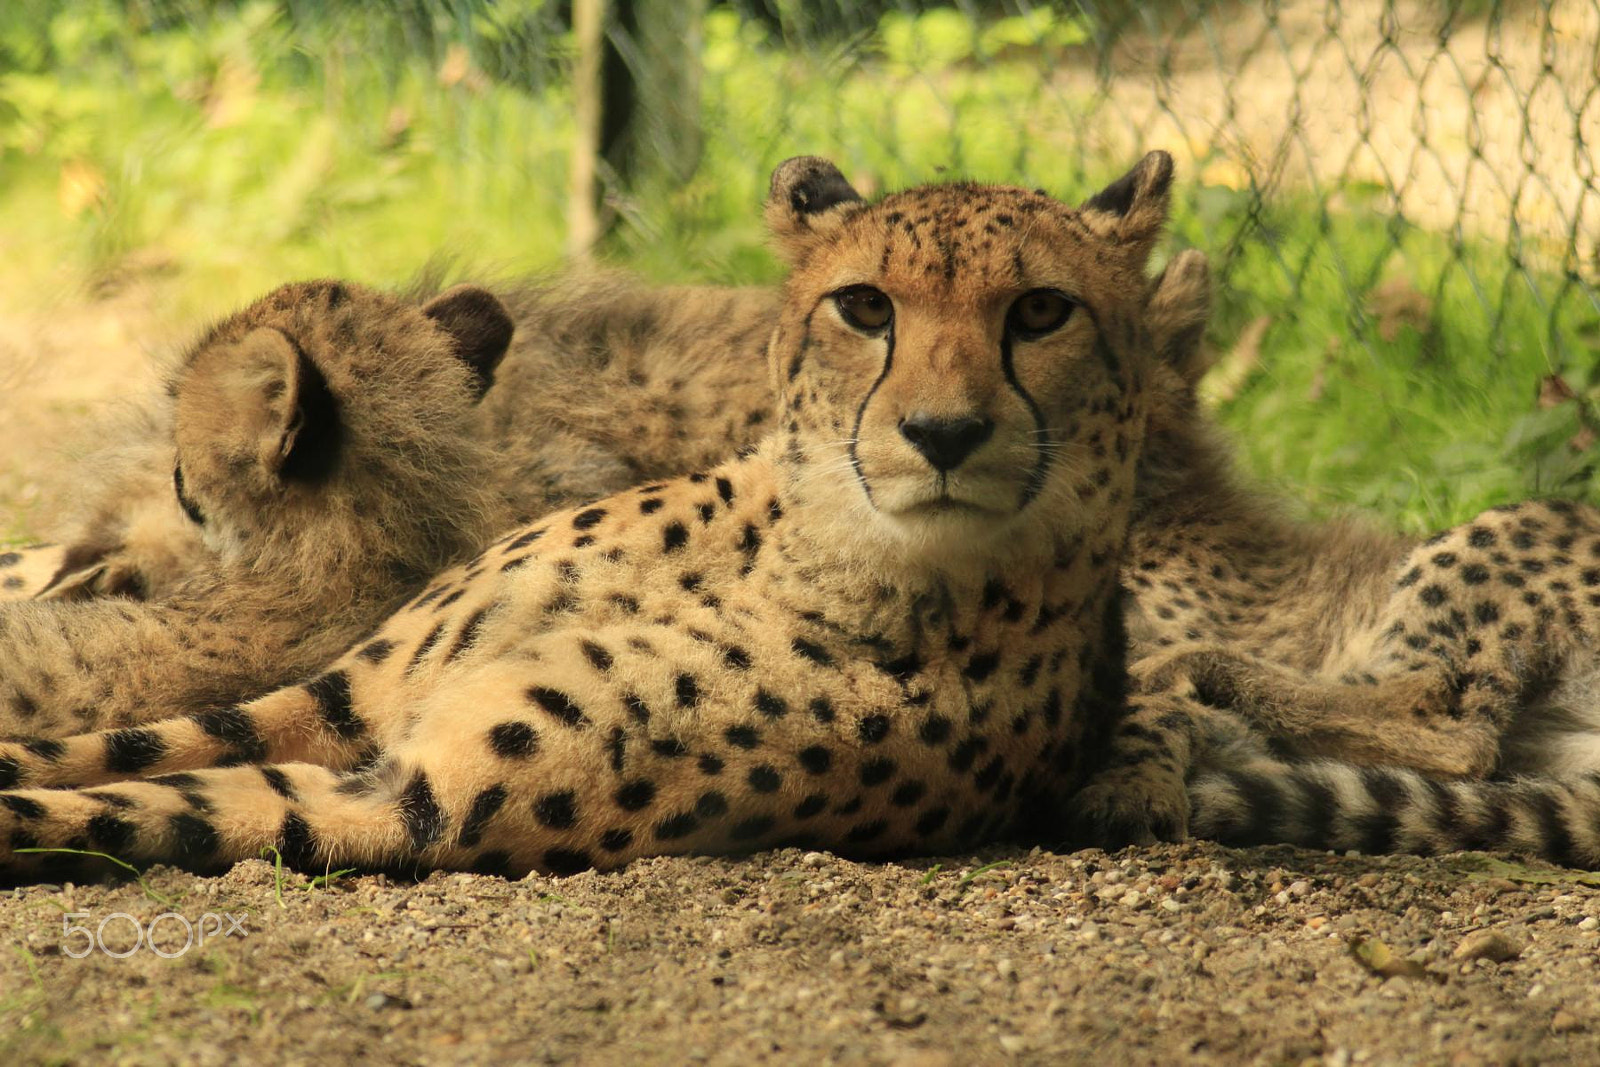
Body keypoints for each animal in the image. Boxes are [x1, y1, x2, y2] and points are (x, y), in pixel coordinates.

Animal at [0, 151, 1177, 883]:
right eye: (865, 305)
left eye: (1041, 311)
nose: (942, 432)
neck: (794, 548)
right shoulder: (336, 700)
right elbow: (105, 744)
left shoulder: (400, 797)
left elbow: (124, 797)